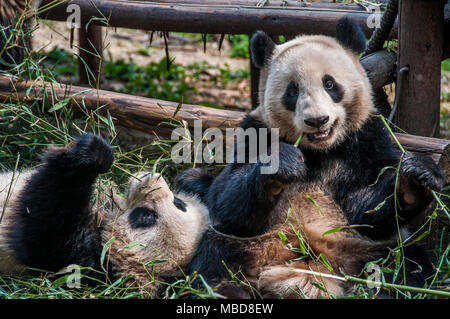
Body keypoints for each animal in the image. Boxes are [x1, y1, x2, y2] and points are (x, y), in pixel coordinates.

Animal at [0, 133, 207, 298]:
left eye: (146, 217)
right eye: (179, 204)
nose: (151, 176)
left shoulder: (72, 259)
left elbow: (43, 220)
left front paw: (93, 153)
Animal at [176, 19, 442, 300]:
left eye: (330, 84)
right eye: (292, 90)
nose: (317, 120)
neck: (320, 150)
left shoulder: (367, 137)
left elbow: (367, 209)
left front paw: (416, 180)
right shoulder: (255, 131)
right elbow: (225, 198)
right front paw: (281, 166)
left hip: (367, 251)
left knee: (408, 265)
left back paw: (381, 290)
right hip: (251, 243)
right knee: (215, 255)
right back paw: (224, 291)